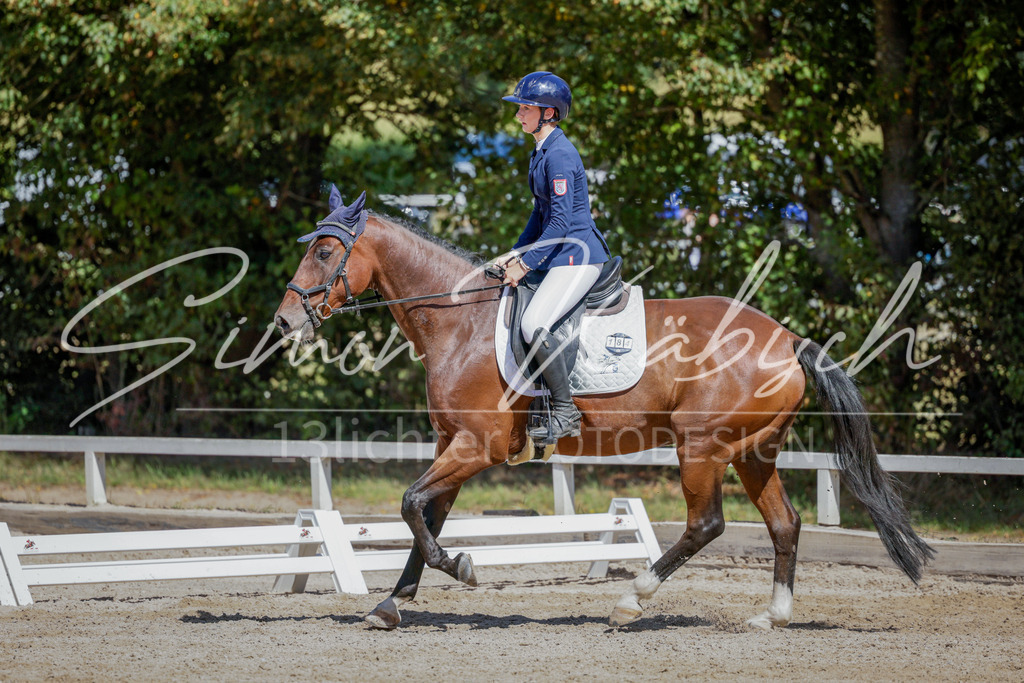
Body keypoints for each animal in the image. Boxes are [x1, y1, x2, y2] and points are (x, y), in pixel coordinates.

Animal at [273, 195, 934, 631]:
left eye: (326, 251)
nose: (284, 322)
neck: (461, 321)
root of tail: (788, 338)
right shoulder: (450, 444)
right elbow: (425, 514)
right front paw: (391, 603)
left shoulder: (476, 447)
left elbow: (413, 505)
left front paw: (460, 568)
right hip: (752, 451)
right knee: (785, 524)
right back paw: (771, 616)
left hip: (701, 447)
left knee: (706, 525)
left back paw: (631, 600)